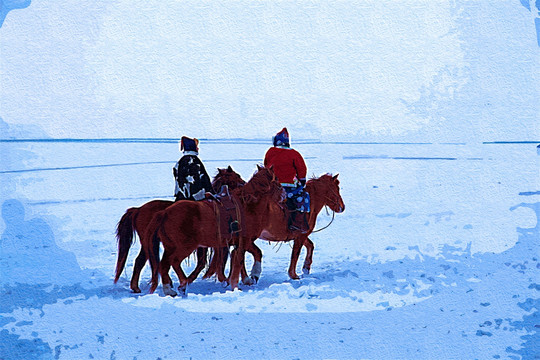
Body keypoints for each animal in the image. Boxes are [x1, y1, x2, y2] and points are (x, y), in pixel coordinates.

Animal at [114, 166, 245, 292]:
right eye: (236, 176)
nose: (243, 184)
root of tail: (138, 209)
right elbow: (211, 262)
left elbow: (207, 263)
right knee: (143, 261)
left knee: (144, 261)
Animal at [143, 166, 286, 296]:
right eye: (277, 182)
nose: (284, 195)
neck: (247, 205)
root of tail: (164, 213)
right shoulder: (243, 242)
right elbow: (241, 259)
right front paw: (239, 282)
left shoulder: (241, 242)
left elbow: (252, 254)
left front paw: (250, 277)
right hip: (183, 247)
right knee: (174, 262)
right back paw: (183, 284)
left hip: (170, 247)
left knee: (164, 265)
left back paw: (169, 289)